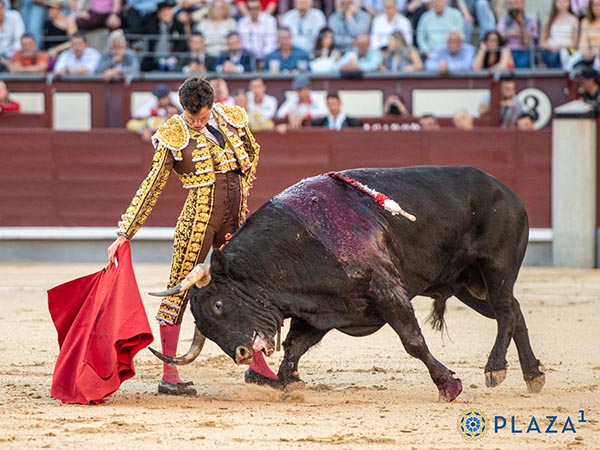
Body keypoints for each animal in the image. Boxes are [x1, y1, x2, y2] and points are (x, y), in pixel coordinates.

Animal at [149, 165, 544, 400]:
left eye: (218, 305)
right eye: (206, 327)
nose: (241, 353)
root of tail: (507, 191)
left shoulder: (387, 290)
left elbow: (413, 341)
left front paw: (449, 384)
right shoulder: (323, 309)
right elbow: (295, 345)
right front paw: (286, 382)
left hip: (496, 268)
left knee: (506, 310)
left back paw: (495, 369)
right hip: (468, 285)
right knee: (515, 312)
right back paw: (532, 375)